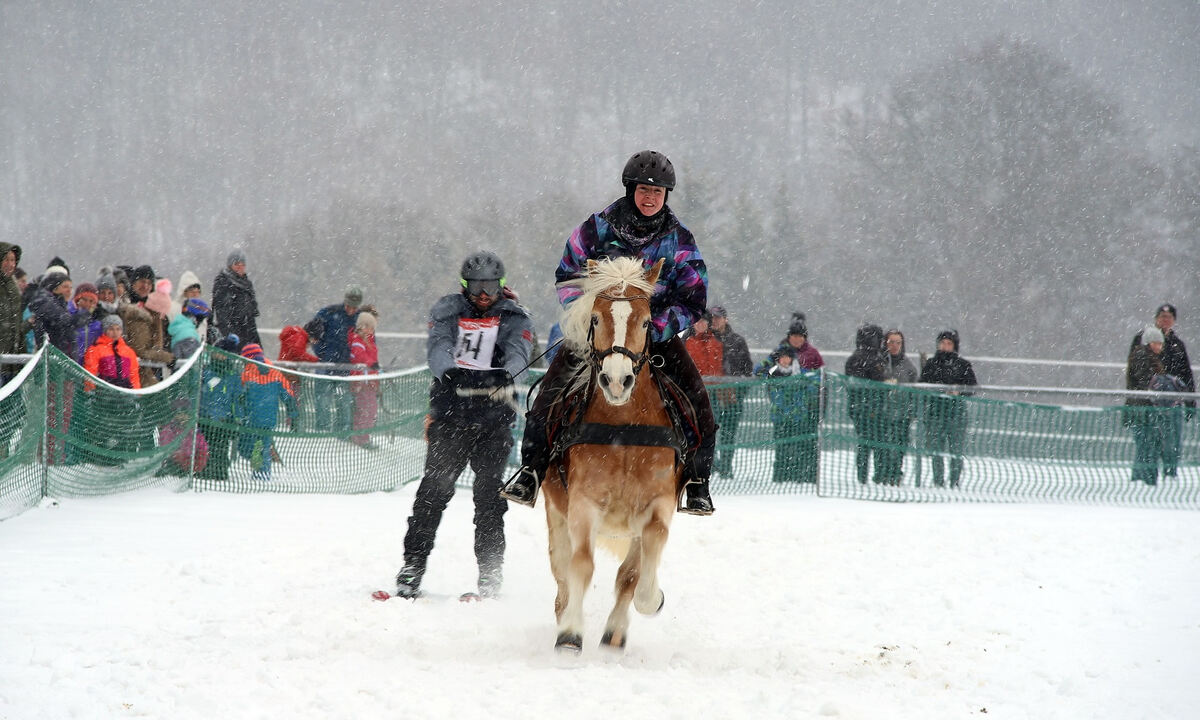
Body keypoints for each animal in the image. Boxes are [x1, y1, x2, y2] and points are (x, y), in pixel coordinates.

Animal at [544, 255, 686, 657]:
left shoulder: (657, 503)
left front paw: (645, 605)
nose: (617, 381)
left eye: (646, 321)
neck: (623, 430)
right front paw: (570, 633)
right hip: (555, 512)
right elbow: (581, 565)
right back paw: (563, 615)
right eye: (595, 319)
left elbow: (635, 573)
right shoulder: (583, 503)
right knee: (561, 570)